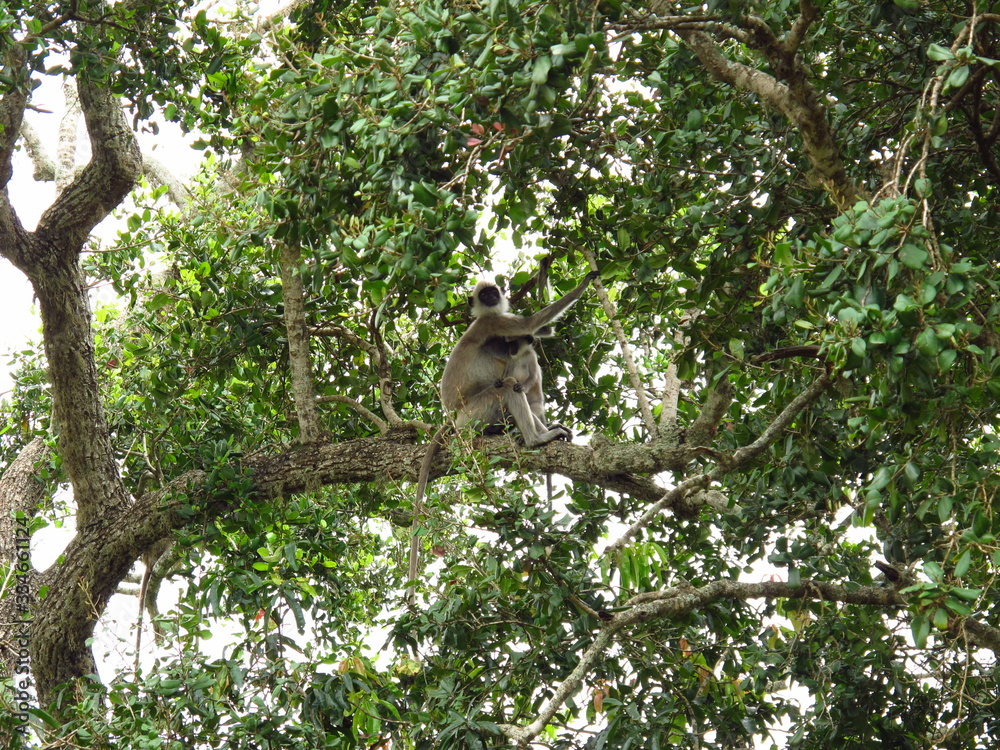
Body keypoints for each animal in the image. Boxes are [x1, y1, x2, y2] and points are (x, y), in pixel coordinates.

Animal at [407, 270, 598, 601]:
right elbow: (530, 323)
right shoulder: (494, 324)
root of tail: (453, 417)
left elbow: (541, 329)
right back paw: (536, 439)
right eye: (484, 296)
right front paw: (587, 280)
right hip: (478, 410)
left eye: (493, 292)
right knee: (508, 385)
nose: (492, 297)